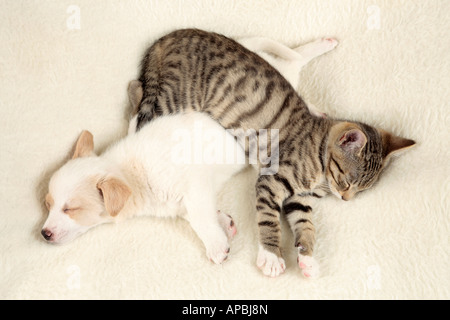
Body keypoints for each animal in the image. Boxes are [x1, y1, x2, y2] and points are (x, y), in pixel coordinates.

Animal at [133, 28, 414, 276]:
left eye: (361, 190)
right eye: (346, 181)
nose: (346, 199)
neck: (319, 166)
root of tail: (172, 35)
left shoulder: (299, 199)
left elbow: (307, 224)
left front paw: (307, 257)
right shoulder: (271, 179)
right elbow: (269, 219)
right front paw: (271, 256)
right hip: (173, 102)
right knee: (137, 117)